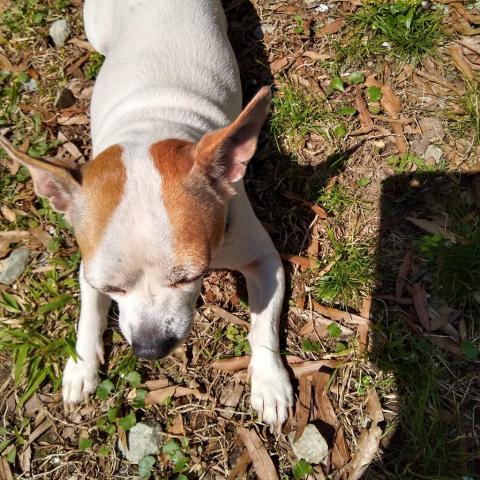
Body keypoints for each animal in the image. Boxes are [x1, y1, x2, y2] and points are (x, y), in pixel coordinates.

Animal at [0, 0, 294, 426]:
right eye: (110, 287)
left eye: (192, 276)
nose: (151, 348)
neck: (152, 128)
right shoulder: (88, 266)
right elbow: (88, 313)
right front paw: (82, 365)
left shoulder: (264, 260)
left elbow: (264, 324)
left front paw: (270, 382)